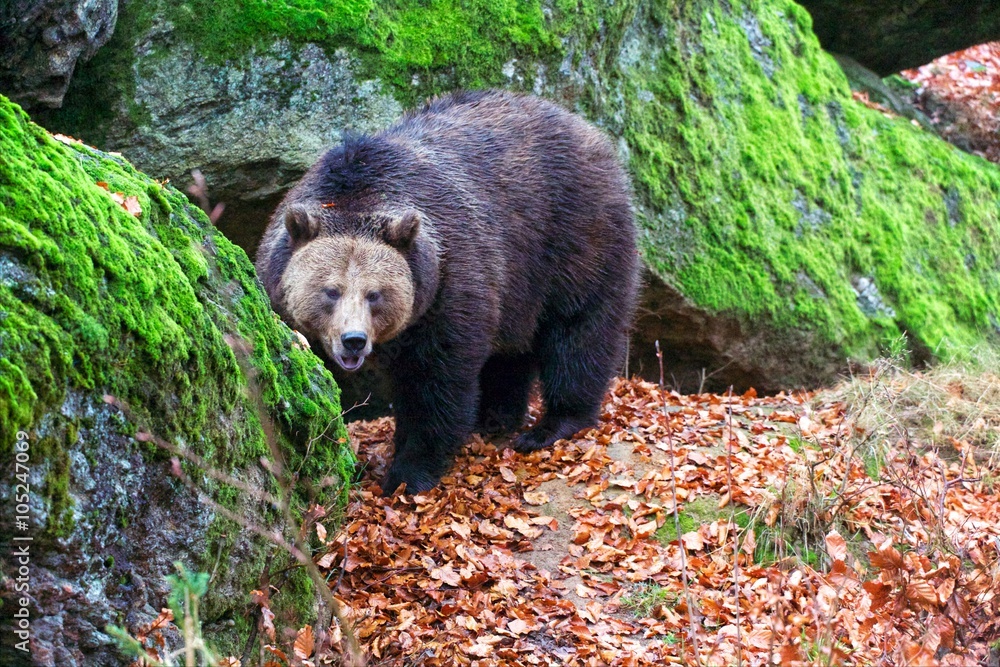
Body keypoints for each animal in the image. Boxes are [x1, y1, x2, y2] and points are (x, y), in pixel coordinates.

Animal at [256, 89, 640, 494]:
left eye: (375, 294)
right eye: (331, 291)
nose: (354, 340)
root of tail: (585, 128)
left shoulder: (448, 281)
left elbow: (435, 385)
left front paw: (408, 472)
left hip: (574, 237)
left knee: (579, 329)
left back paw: (552, 425)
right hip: (519, 284)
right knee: (511, 351)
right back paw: (496, 416)